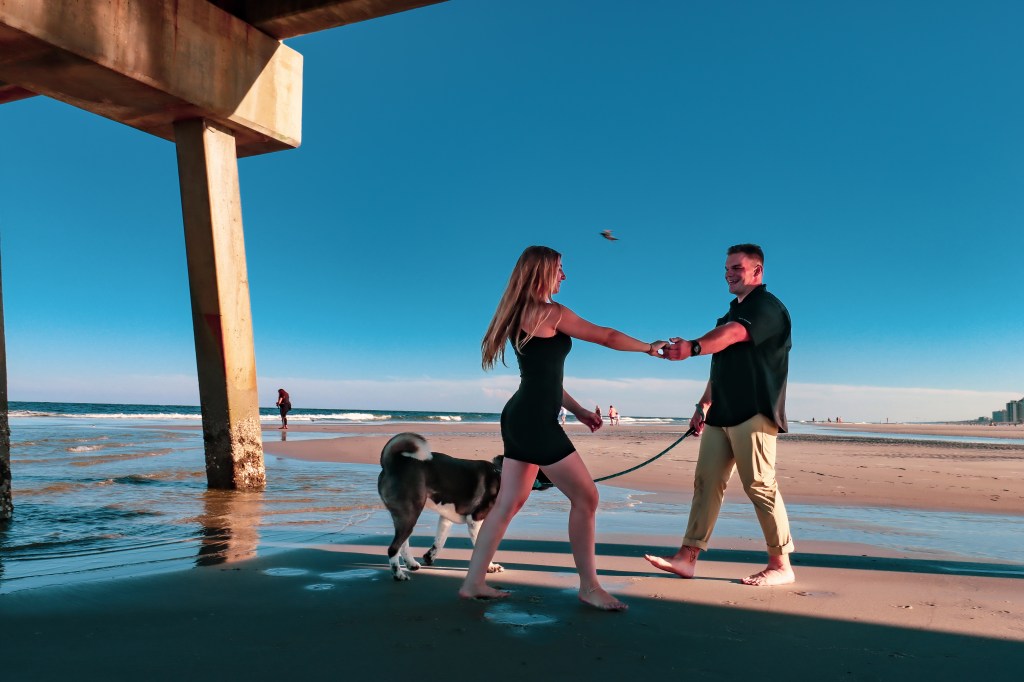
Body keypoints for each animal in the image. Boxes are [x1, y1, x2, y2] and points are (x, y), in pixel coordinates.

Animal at [377, 432, 504, 581]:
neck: (500, 473)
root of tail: (391, 463)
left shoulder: (446, 519)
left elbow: (440, 540)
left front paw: (429, 557)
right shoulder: (475, 520)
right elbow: (483, 547)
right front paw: (490, 567)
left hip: (405, 517)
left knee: (403, 543)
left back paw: (411, 564)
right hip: (410, 514)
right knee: (394, 548)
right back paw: (398, 574)